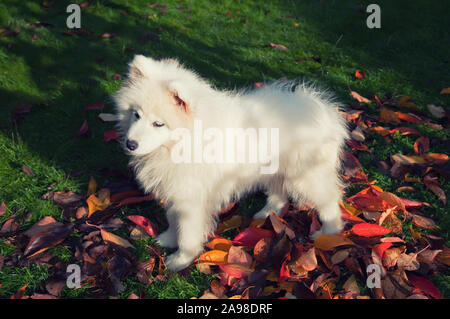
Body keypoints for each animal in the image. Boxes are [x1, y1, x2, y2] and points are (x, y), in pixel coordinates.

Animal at [114, 55, 350, 272]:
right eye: (136, 115)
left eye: (158, 124)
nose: (130, 144)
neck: (183, 142)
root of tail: (325, 110)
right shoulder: (177, 189)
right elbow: (173, 219)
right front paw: (169, 238)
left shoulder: (191, 198)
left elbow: (187, 232)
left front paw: (180, 260)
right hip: (275, 170)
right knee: (279, 195)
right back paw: (267, 214)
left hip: (307, 176)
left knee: (329, 199)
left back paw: (328, 233)